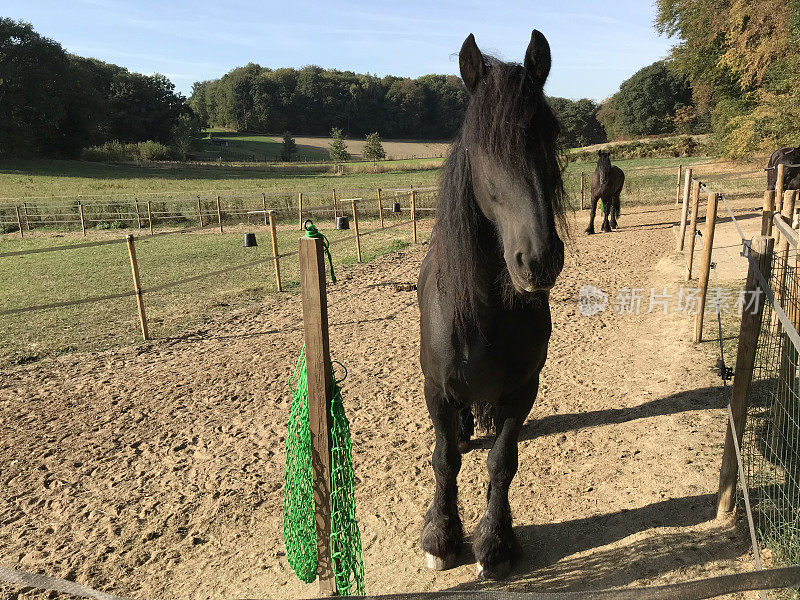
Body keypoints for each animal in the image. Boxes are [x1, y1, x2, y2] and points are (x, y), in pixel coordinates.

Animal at [416, 29, 564, 580]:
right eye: (482, 146)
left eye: (551, 134)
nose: (538, 259)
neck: (484, 315)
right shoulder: (437, 390)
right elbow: (444, 461)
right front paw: (441, 537)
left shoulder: (523, 391)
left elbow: (503, 462)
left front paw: (495, 544)